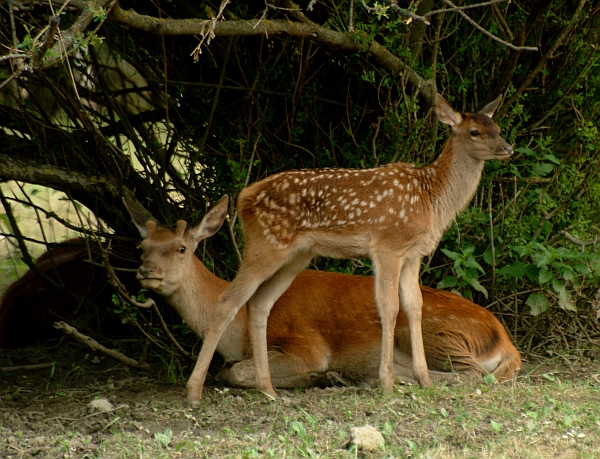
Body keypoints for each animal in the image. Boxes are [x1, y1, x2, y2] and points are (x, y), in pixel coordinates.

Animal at [130, 196, 520, 394]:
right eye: (142, 247)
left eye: (181, 248)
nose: (146, 271)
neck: (237, 335)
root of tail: (505, 341)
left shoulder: (305, 344)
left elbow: (234, 373)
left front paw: (316, 377)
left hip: (440, 333)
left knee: (474, 374)